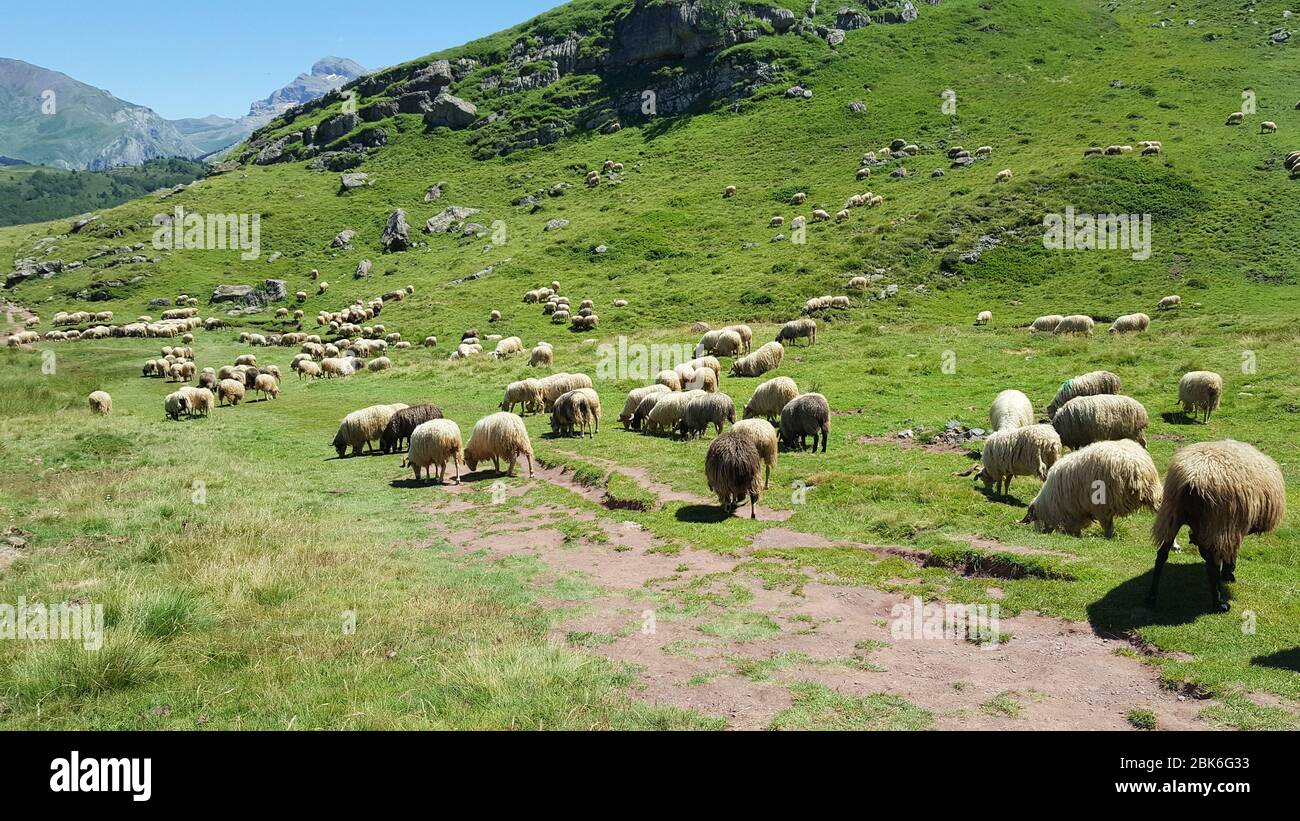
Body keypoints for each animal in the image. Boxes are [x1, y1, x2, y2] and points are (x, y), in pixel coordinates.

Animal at [1022, 439, 1161, 538]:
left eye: (1035, 519)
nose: (1041, 533)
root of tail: (1136, 466)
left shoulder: (1074, 510)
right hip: (1152, 491)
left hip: (1104, 502)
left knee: (1107, 526)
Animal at [1148, 440, 1286, 612]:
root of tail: (1192, 480)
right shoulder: (1233, 528)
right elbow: (1229, 554)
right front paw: (1228, 573)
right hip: (1220, 521)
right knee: (1212, 565)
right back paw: (1219, 603)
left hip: (1173, 515)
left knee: (1161, 555)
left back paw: (1151, 598)